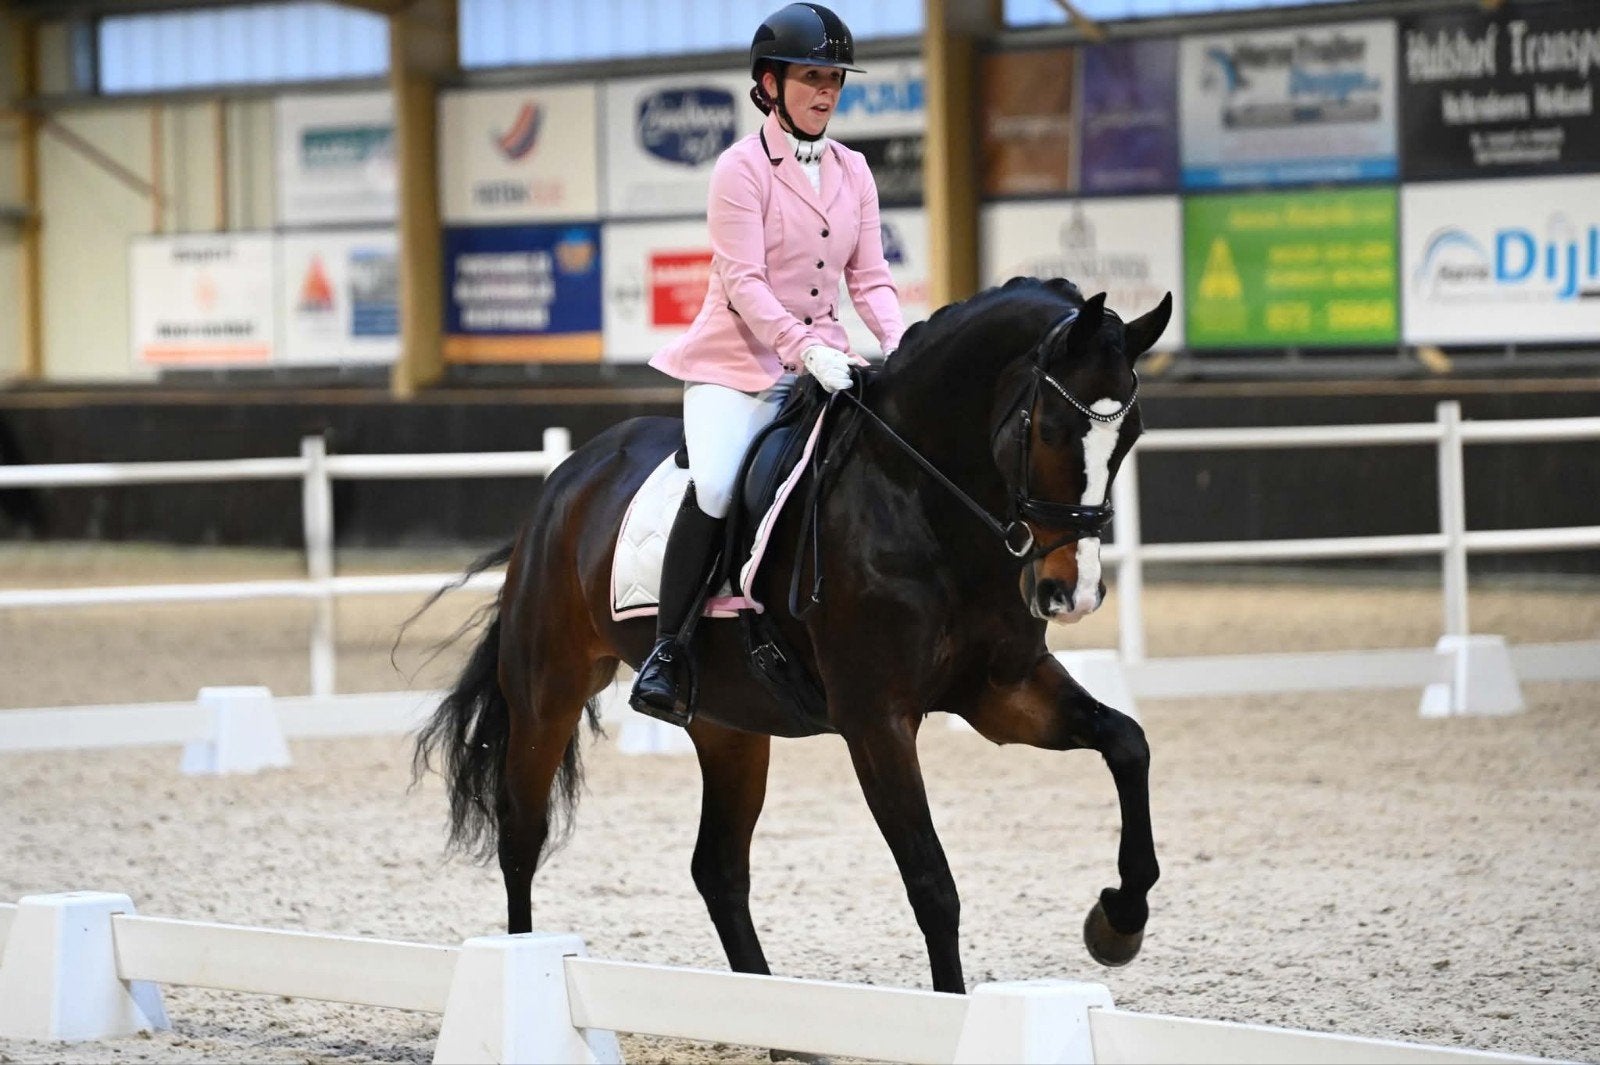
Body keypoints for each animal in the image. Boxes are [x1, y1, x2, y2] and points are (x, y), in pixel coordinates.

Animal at [414, 276, 1171, 996]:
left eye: (1130, 435)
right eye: (1048, 430)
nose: (1072, 592)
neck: (920, 499)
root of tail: (573, 473)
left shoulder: (1001, 692)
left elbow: (1128, 741)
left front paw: (1118, 921)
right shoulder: (875, 719)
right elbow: (932, 884)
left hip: (728, 722)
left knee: (718, 867)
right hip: (548, 688)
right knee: (521, 835)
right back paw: (520, 963)